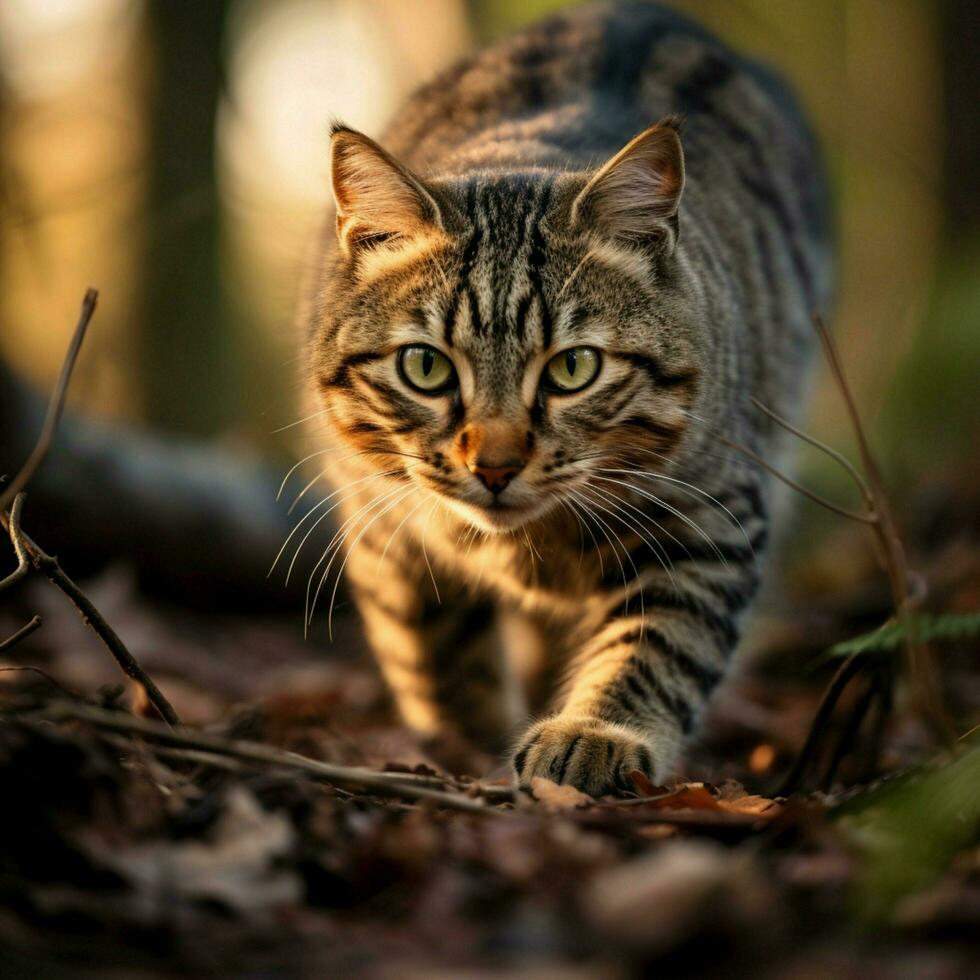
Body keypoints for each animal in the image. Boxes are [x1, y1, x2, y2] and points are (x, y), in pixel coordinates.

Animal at [296, 1, 828, 796]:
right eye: (425, 367)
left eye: (573, 368)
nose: (494, 466)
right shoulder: (377, 520)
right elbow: (432, 650)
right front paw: (468, 743)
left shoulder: (712, 513)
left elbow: (660, 642)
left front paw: (593, 733)